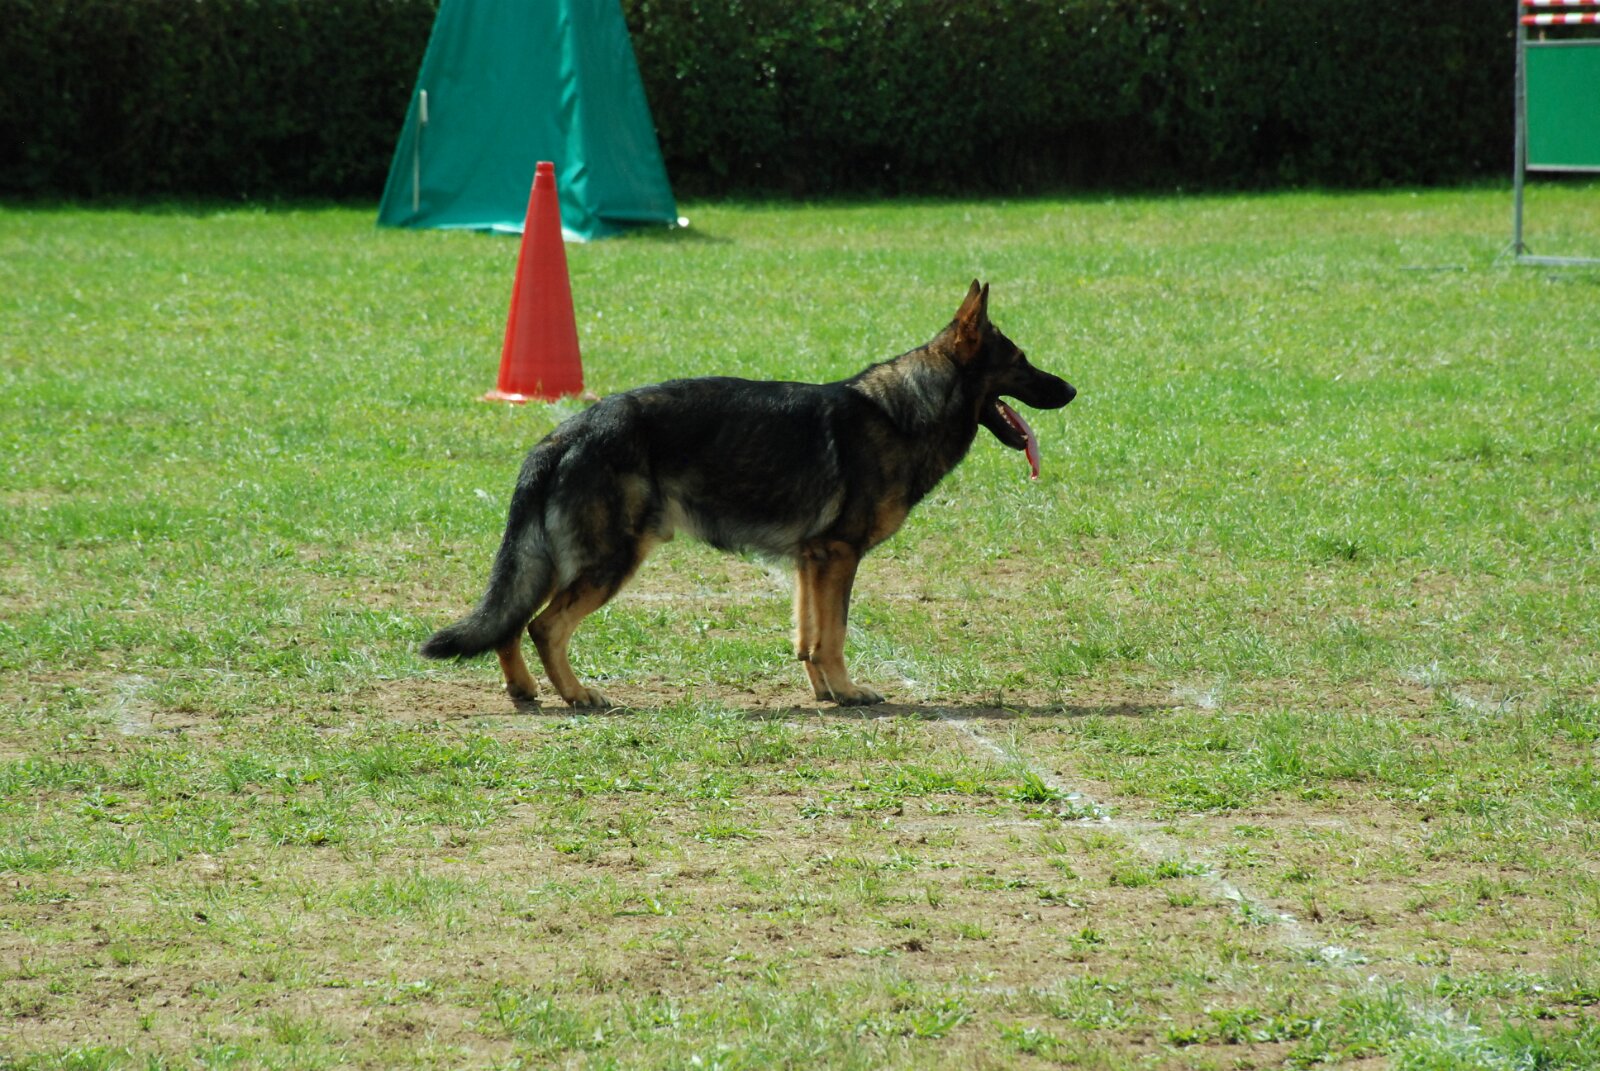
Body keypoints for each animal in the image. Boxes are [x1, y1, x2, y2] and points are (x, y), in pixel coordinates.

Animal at [421, 281, 1075, 707]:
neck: (904, 411)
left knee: (511, 622)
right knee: (543, 626)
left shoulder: (812, 563)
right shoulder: (839, 557)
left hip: (560, 561)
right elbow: (834, 634)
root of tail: (564, 433)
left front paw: (825, 692)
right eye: (1021, 361)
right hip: (612, 560)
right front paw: (848, 691)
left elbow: (809, 637)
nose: (1072, 389)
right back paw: (578, 694)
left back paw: (524, 689)